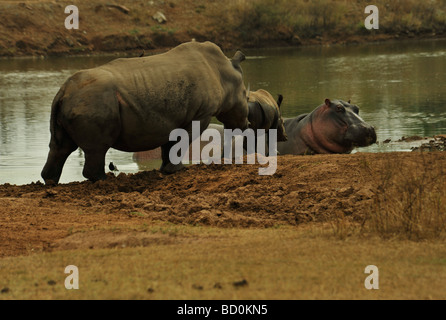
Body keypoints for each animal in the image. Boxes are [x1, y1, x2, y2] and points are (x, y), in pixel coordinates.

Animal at [41, 41, 251, 184]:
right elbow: (182, 141)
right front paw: (177, 170)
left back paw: (50, 182)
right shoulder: (200, 115)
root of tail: (63, 91)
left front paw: (167, 170)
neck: (224, 72)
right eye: (245, 97)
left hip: (72, 102)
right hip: (94, 102)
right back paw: (105, 181)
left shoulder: (173, 117)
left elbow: (170, 144)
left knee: (61, 146)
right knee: (97, 147)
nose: (246, 124)